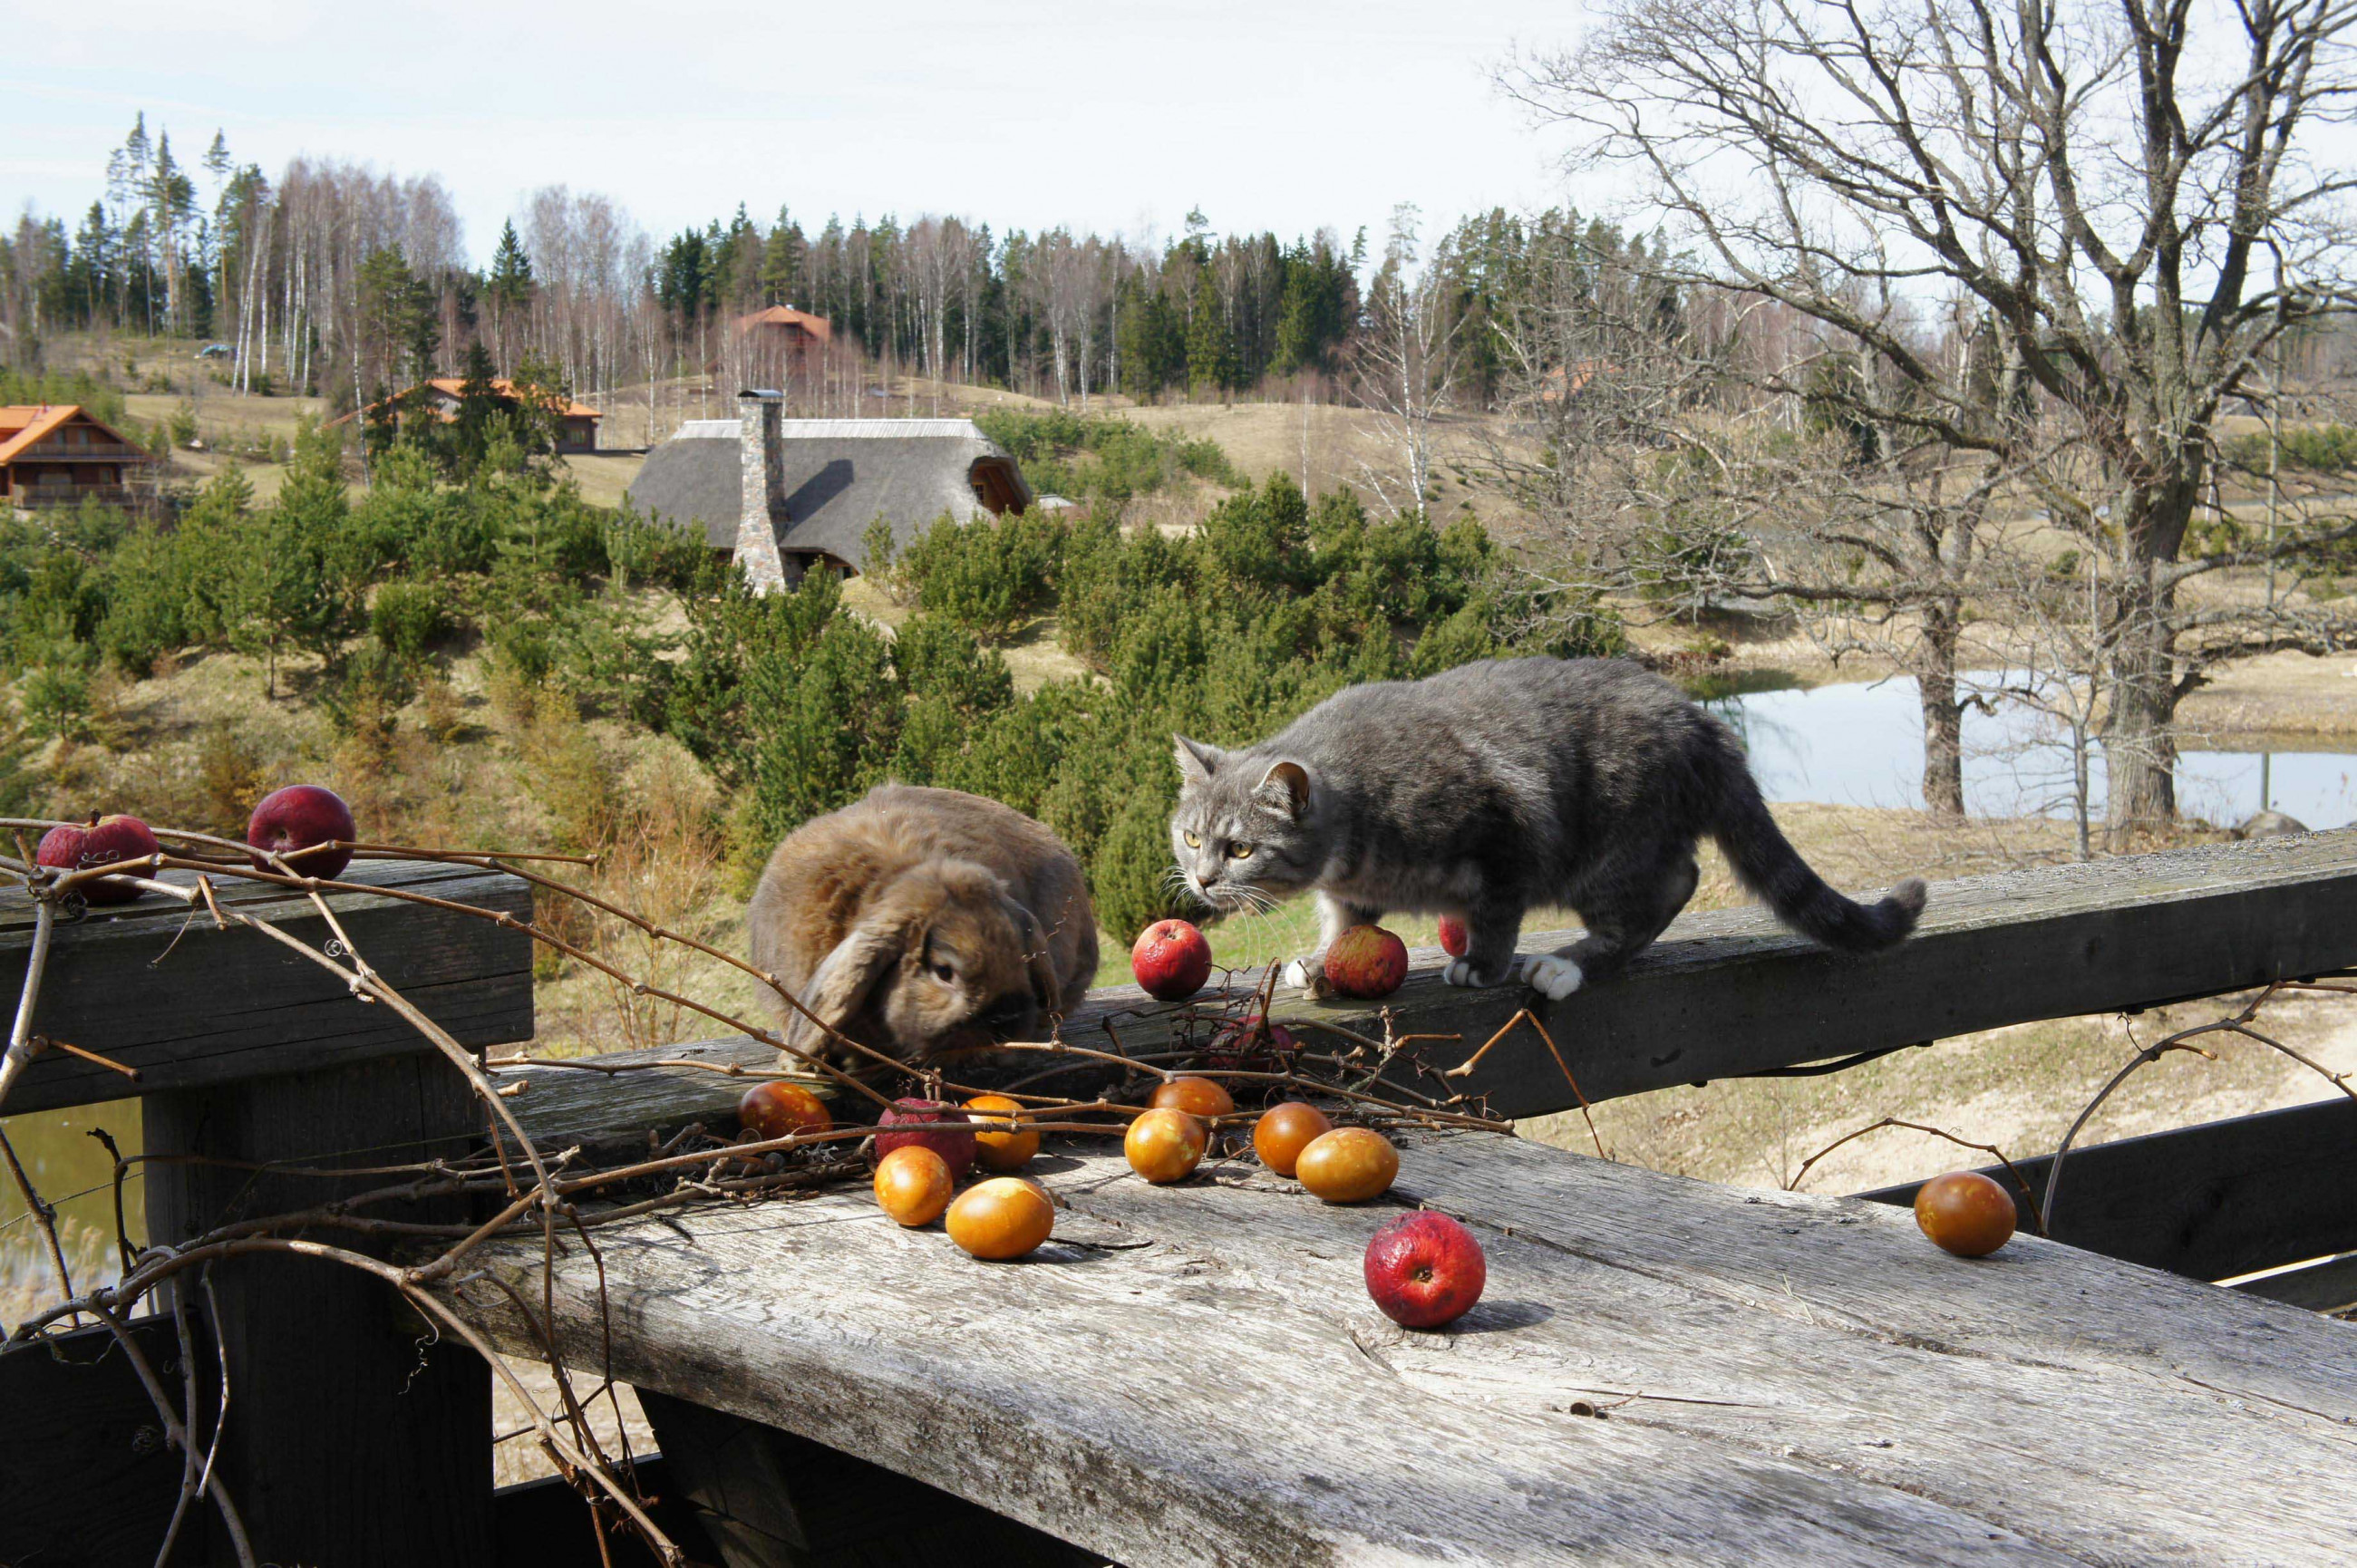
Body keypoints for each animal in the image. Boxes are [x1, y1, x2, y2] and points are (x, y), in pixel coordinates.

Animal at [1169, 655, 1923, 994]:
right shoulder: (1351, 889)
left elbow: (1498, 909)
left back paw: (1569, 963)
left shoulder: (1505, 829)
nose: (1201, 881)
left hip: (1614, 848)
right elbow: (1347, 922)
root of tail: (1698, 719)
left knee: (1675, 882)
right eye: (1191, 836)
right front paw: (1323, 957)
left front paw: (1481, 961)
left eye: (1241, 848)